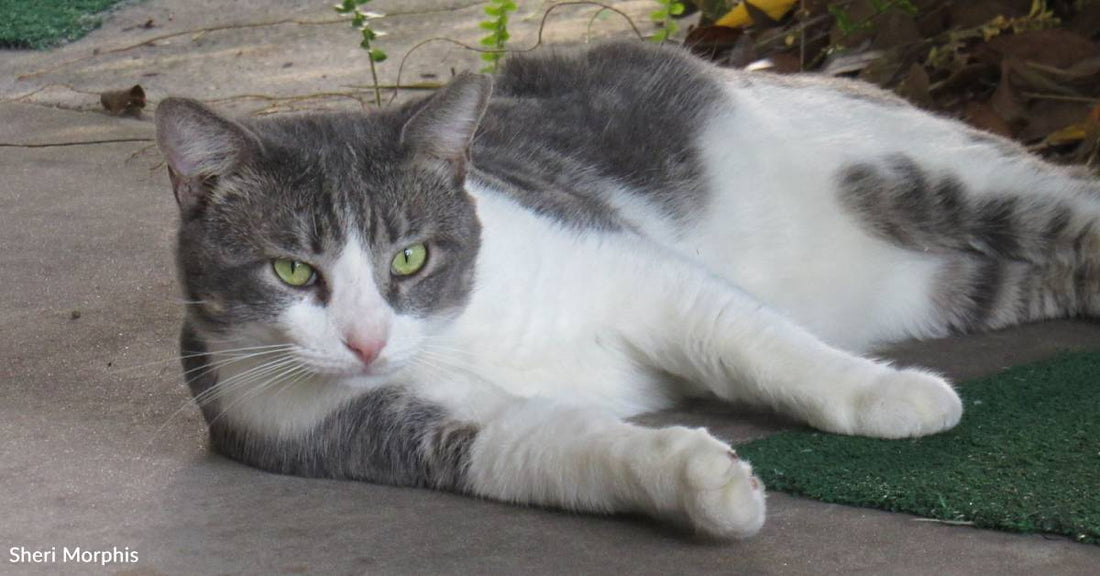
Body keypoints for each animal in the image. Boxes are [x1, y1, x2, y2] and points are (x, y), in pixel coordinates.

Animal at [157, 41, 1100, 540]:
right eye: (291, 270)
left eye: (412, 258)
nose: (364, 340)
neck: (463, 324)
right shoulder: (399, 425)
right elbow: (562, 445)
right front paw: (702, 484)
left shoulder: (638, 272)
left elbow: (760, 345)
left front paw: (885, 395)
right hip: (961, 282)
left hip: (934, 178)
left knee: (1066, 208)